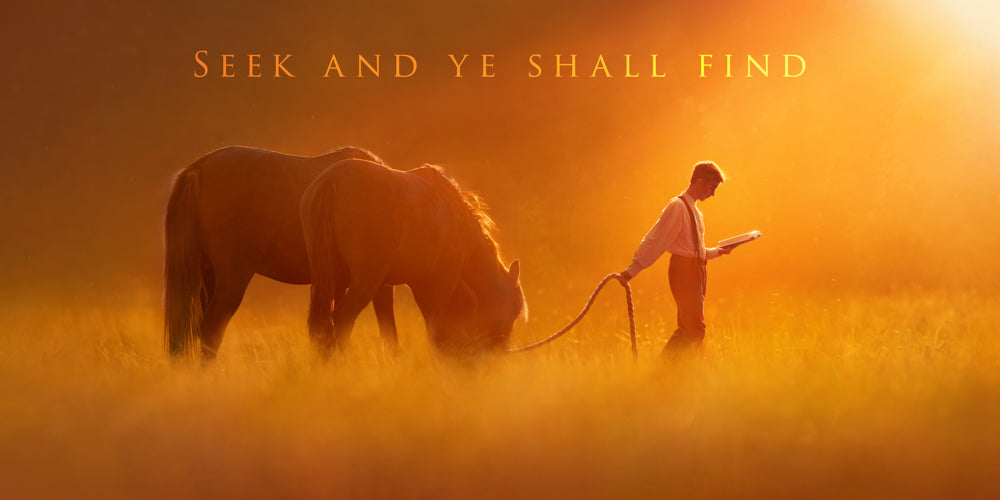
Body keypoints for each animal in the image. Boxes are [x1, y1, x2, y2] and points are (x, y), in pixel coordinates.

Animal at [161, 145, 394, 360]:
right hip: (232, 281)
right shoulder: (375, 279)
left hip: (208, 277)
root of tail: (198, 169)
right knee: (212, 328)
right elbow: (385, 324)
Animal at [300, 158, 528, 354]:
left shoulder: (413, 285)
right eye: (512, 313)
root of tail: (332, 181)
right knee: (343, 318)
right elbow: (436, 327)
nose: (498, 349)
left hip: (334, 280)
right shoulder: (440, 283)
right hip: (364, 281)